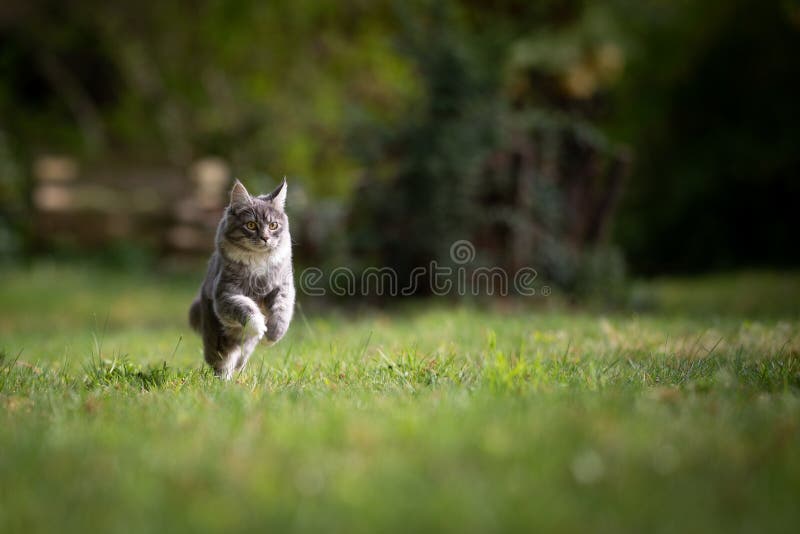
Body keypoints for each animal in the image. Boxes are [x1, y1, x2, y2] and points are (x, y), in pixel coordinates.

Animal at [189, 180, 296, 382]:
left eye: (273, 225)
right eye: (251, 225)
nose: (265, 238)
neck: (258, 262)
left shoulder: (283, 287)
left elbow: (282, 313)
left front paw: (271, 336)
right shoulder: (225, 294)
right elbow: (245, 307)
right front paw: (259, 325)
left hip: (246, 347)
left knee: (239, 359)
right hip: (217, 340)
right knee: (222, 361)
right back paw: (224, 382)